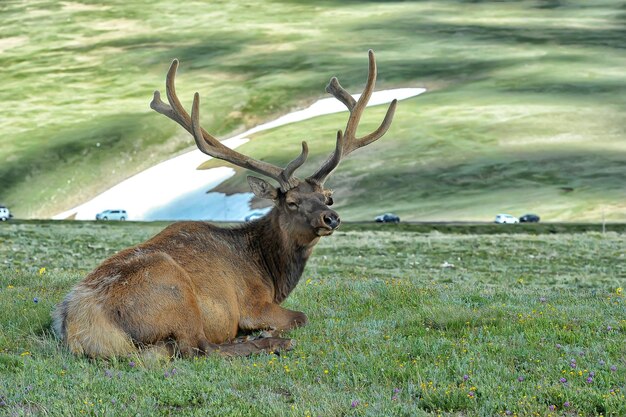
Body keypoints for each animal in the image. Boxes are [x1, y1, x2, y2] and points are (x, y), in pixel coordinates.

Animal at [53, 49, 394, 358]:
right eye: (292, 202)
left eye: (327, 197)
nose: (330, 217)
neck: (271, 273)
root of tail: (84, 327)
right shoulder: (253, 303)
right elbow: (301, 316)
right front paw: (267, 331)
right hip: (176, 292)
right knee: (197, 349)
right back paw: (270, 342)